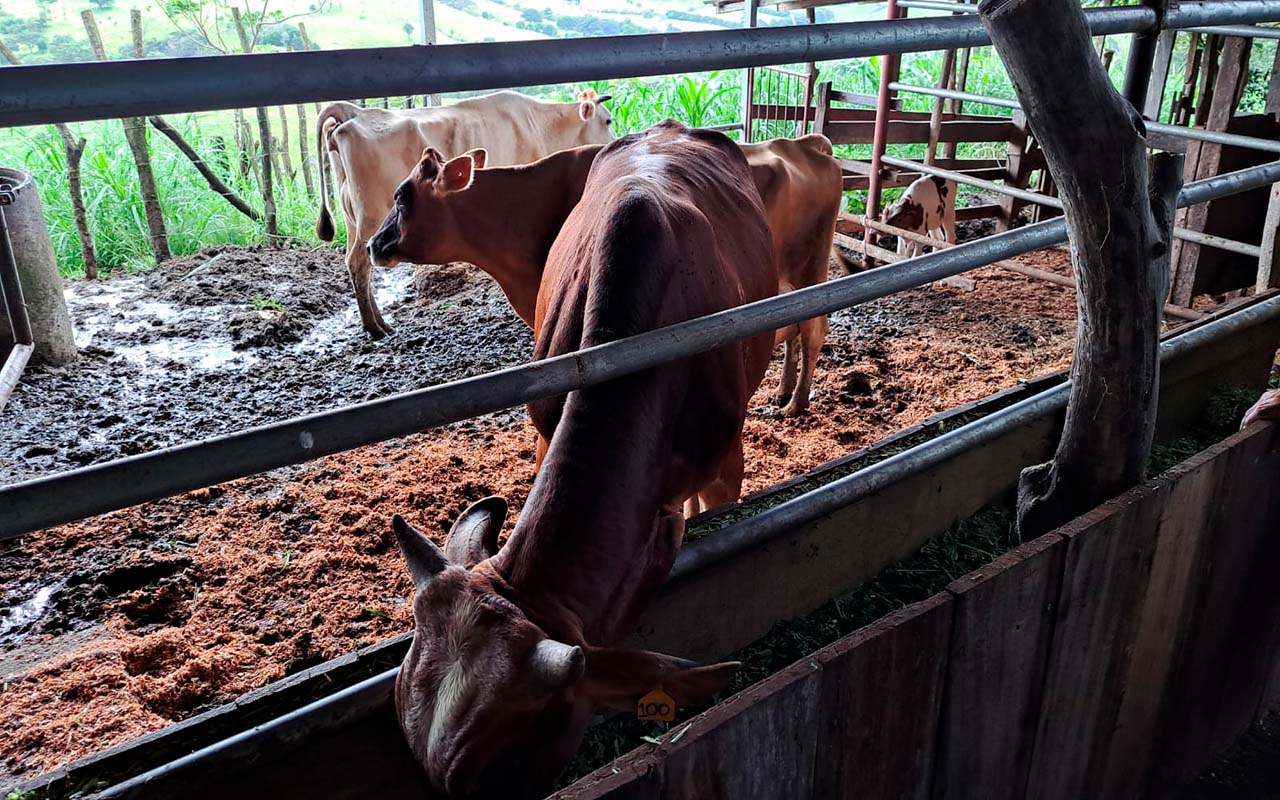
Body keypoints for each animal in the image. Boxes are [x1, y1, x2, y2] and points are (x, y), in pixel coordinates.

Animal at [309, 88, 609, 337]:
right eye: (607, 121)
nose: (615, 137)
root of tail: (353, 113)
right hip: (370, 216)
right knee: (359, 262)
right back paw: (374, 327)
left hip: (354, 220)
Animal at [371, 132, 849, 412]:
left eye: (401, 196)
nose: (375, 245)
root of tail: (806, 143)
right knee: (796, 327)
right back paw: (784, 392)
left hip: (810, 265)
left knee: (813, 328)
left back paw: (796, 404)